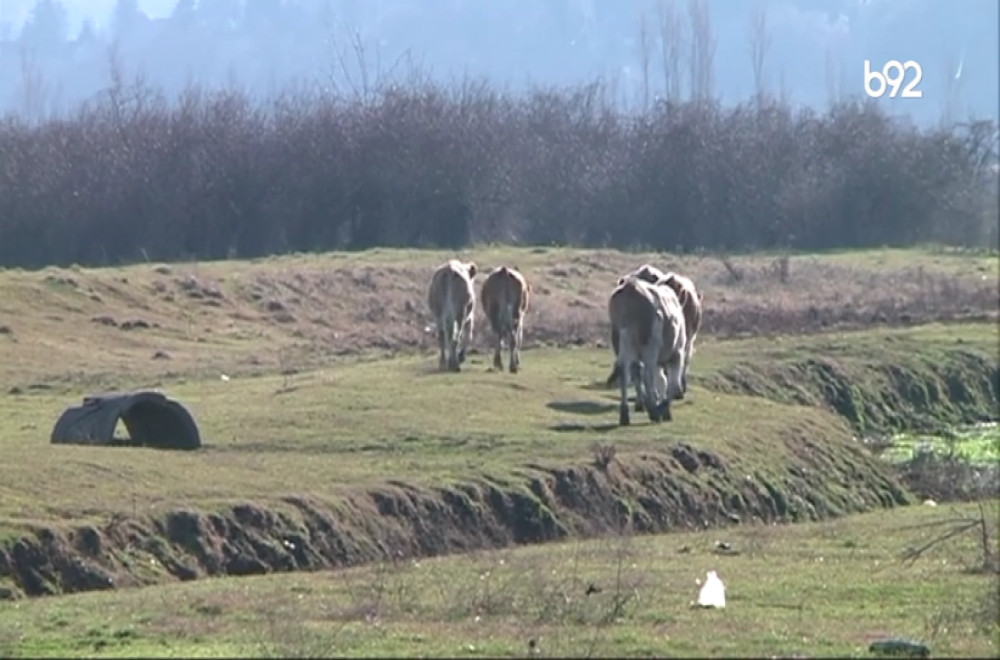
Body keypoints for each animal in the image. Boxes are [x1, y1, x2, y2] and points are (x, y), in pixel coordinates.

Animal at [600, 274, 688, 426]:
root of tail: (631, 287)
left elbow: (661, 381)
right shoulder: (678, 353)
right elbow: (672, 384)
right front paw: (663, 409)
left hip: (620, 338)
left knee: (626, 372)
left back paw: (625, 415)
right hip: (651, 345)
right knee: (647, 375)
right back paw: (653, 411)